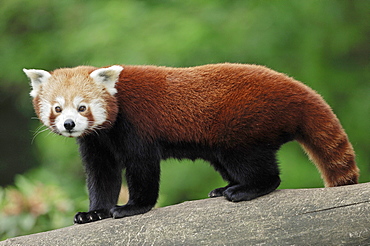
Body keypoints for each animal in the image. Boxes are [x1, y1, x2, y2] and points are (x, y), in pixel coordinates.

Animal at [23, 63, 358, 223]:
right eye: (57, 108)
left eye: (82, 107)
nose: (69, 125)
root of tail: (296, 89)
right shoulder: (97, 142)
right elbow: (101, 176)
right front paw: (94, 213)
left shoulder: (136, 126)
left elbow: (143, 169)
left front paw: (132, 207)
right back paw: (226, 187)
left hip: (243, 125)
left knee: (258, 167)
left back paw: (244, 189)